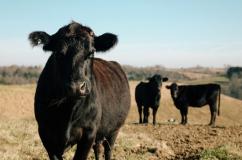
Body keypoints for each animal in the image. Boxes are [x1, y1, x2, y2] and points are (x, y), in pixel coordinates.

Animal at [28, 21, 130, 160]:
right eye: (58, 53)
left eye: (91, 53)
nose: (76, 87)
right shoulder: (46, 134)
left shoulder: (89, 132)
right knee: (98, 148)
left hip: (114, 130)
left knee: (108, 151)